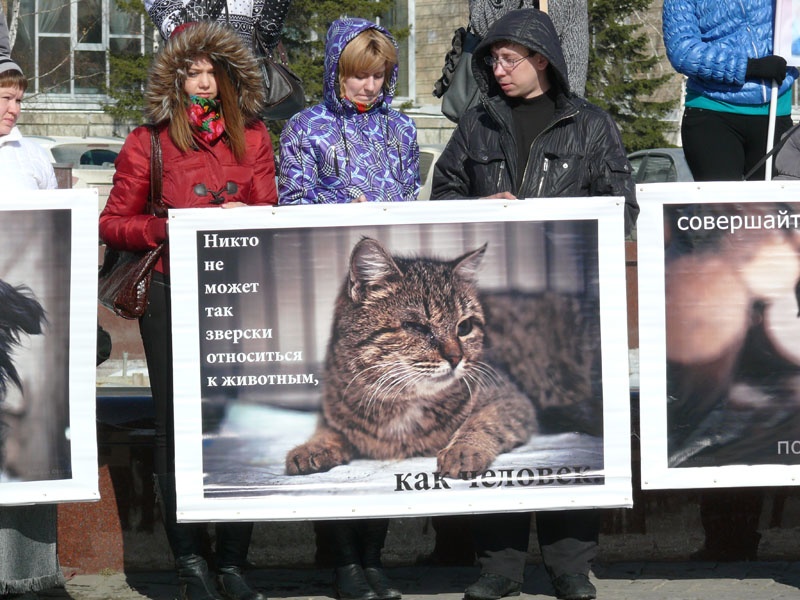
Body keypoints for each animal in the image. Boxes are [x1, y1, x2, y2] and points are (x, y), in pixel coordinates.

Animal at [285, 237, 600, 478]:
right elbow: (327, 430)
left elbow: (481, 422)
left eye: (465, 327)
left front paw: (463, 450)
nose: (456, 357)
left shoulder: (512, 400)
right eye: (417, 327)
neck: (402, 407)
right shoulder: (332, 410)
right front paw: (312, 447)